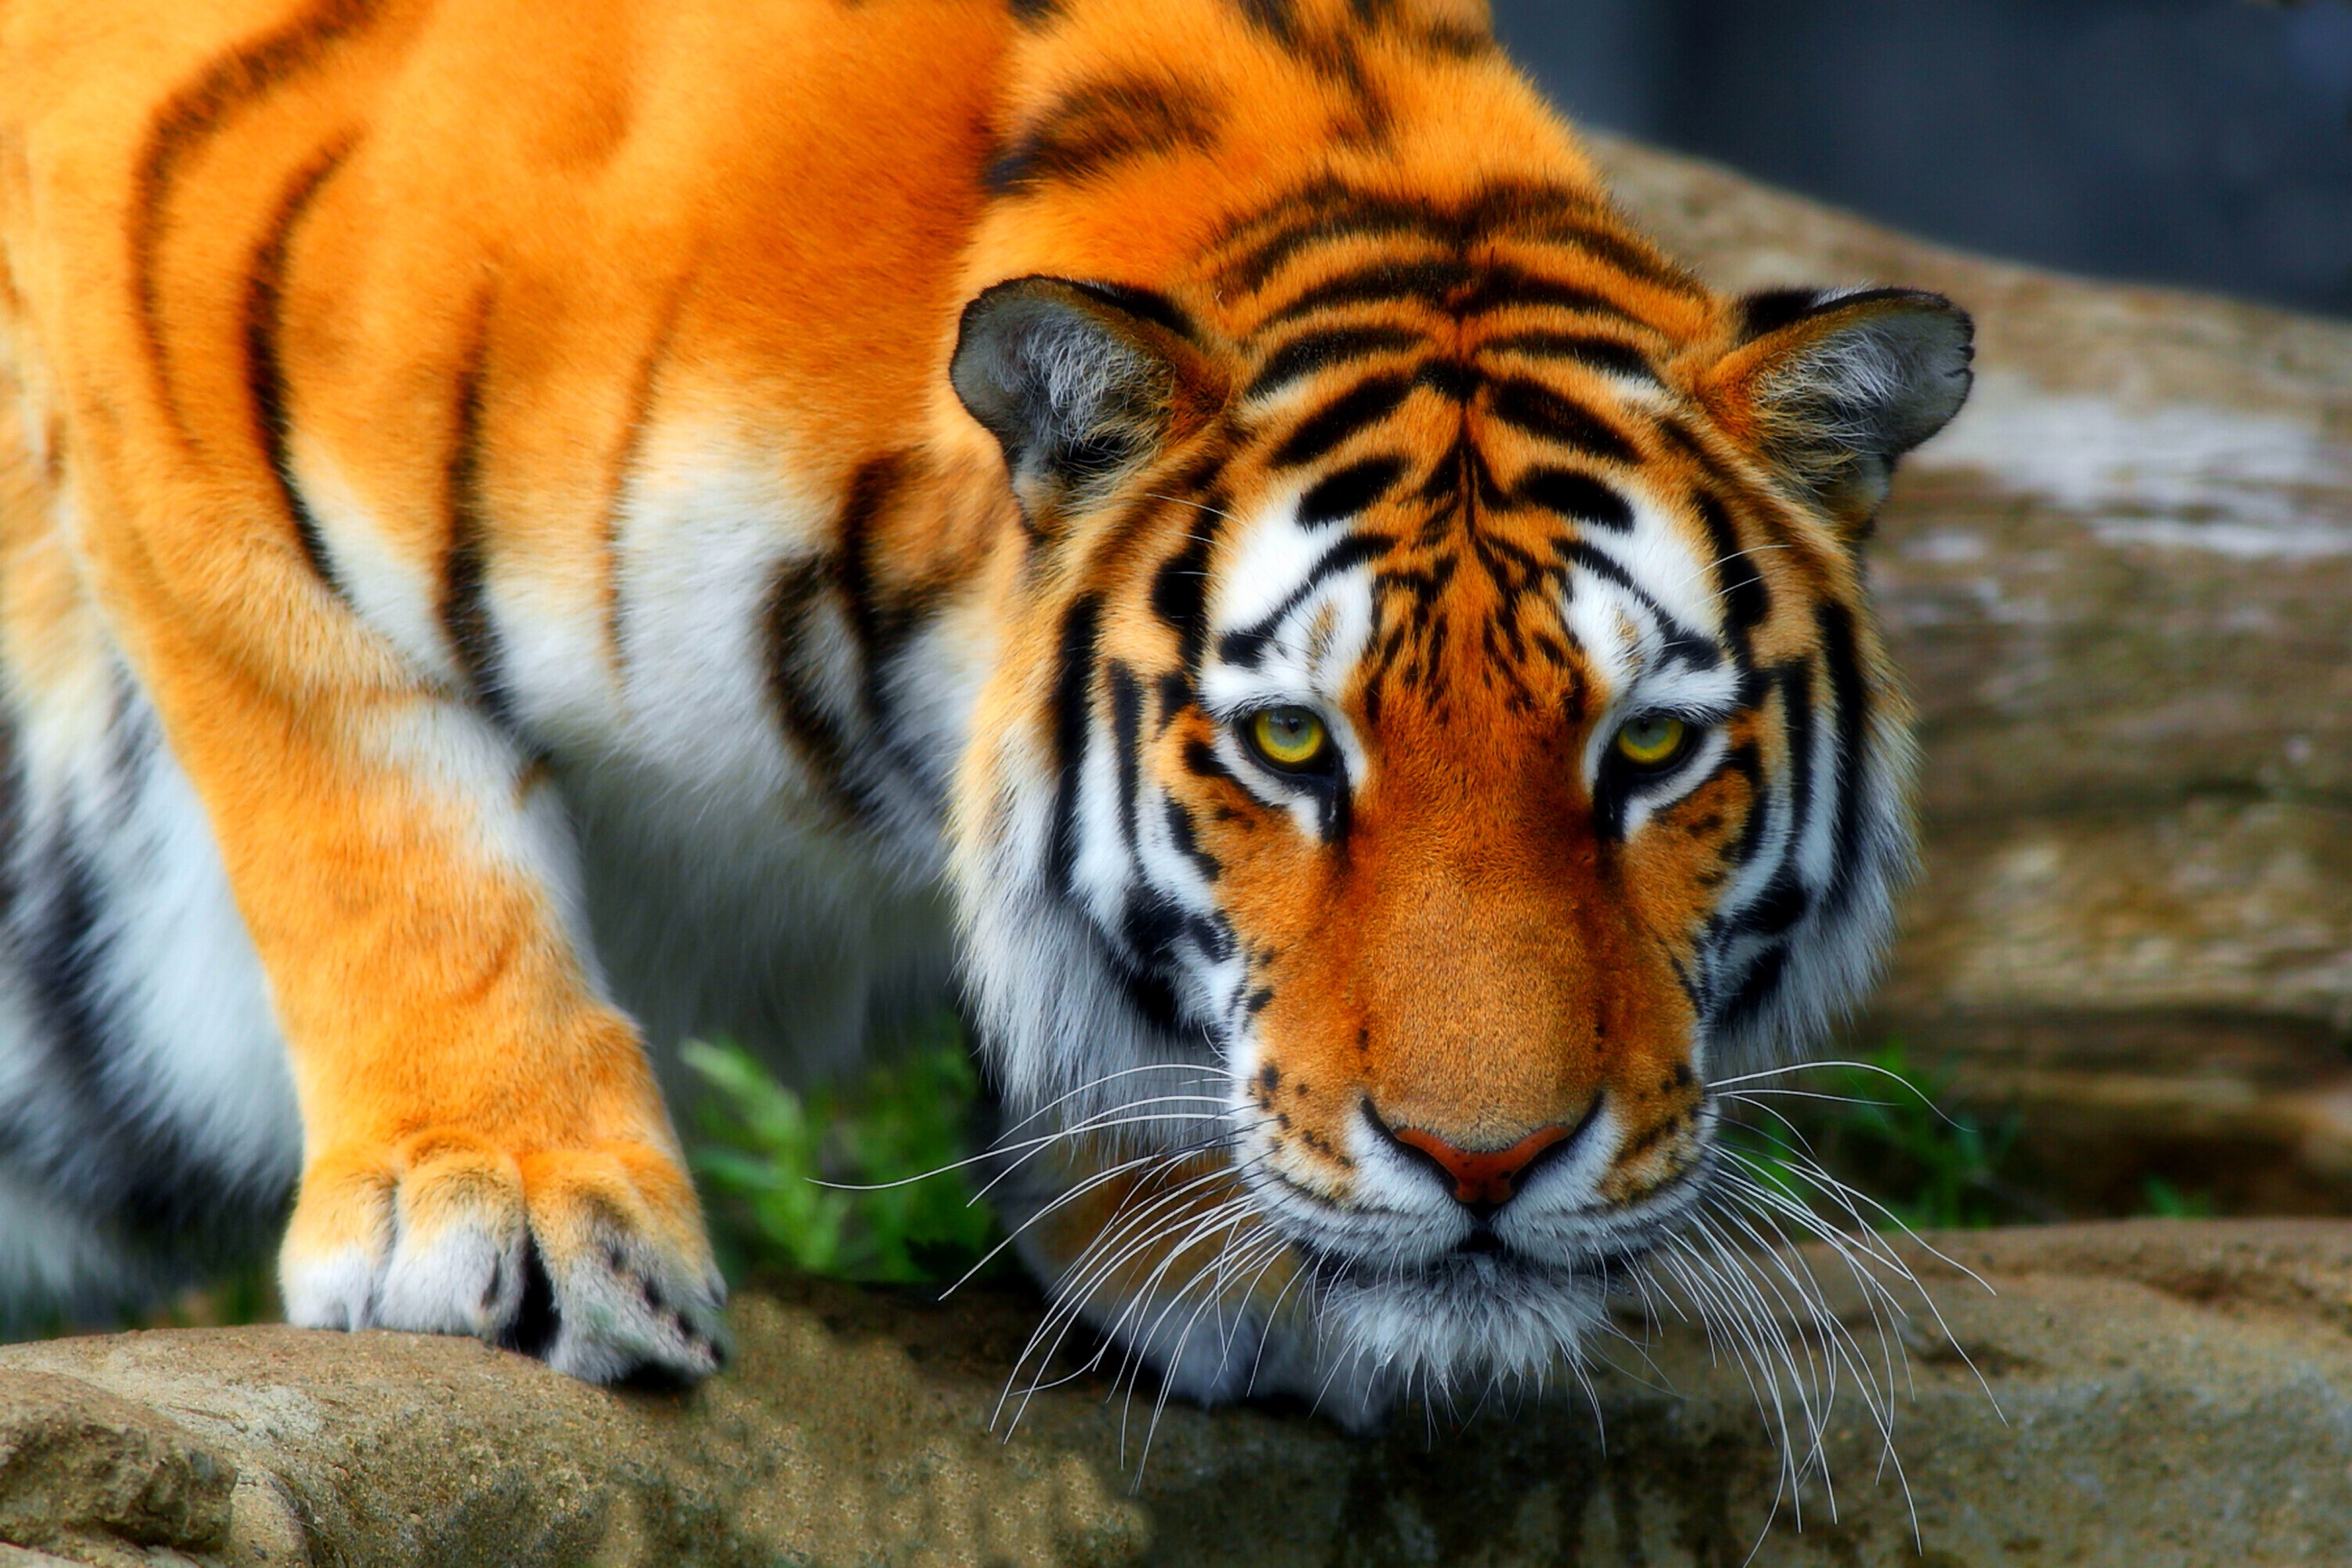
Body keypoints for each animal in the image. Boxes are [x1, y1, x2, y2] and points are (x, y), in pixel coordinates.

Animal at [0, 0, 1970, 1418]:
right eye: (1289, 744)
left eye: (1649, 749)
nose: (1481, 1165)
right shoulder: (183, 318)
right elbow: (377, 819)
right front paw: (499, 1208)